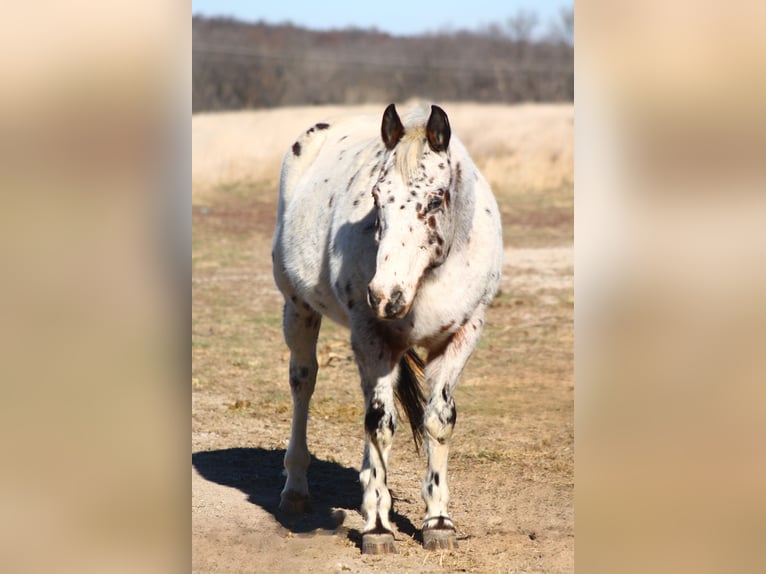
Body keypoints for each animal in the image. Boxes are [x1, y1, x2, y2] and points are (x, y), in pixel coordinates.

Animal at [272, 104, 504, 560]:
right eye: (377, 197)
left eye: (435, 198)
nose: (384, 295)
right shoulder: (370, 337)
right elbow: (380, 423)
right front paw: (377, 527)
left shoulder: (462, 335)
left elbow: (438, 420)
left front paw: (438, 522)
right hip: (299, 310)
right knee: (303, 383)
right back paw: (295, 489)